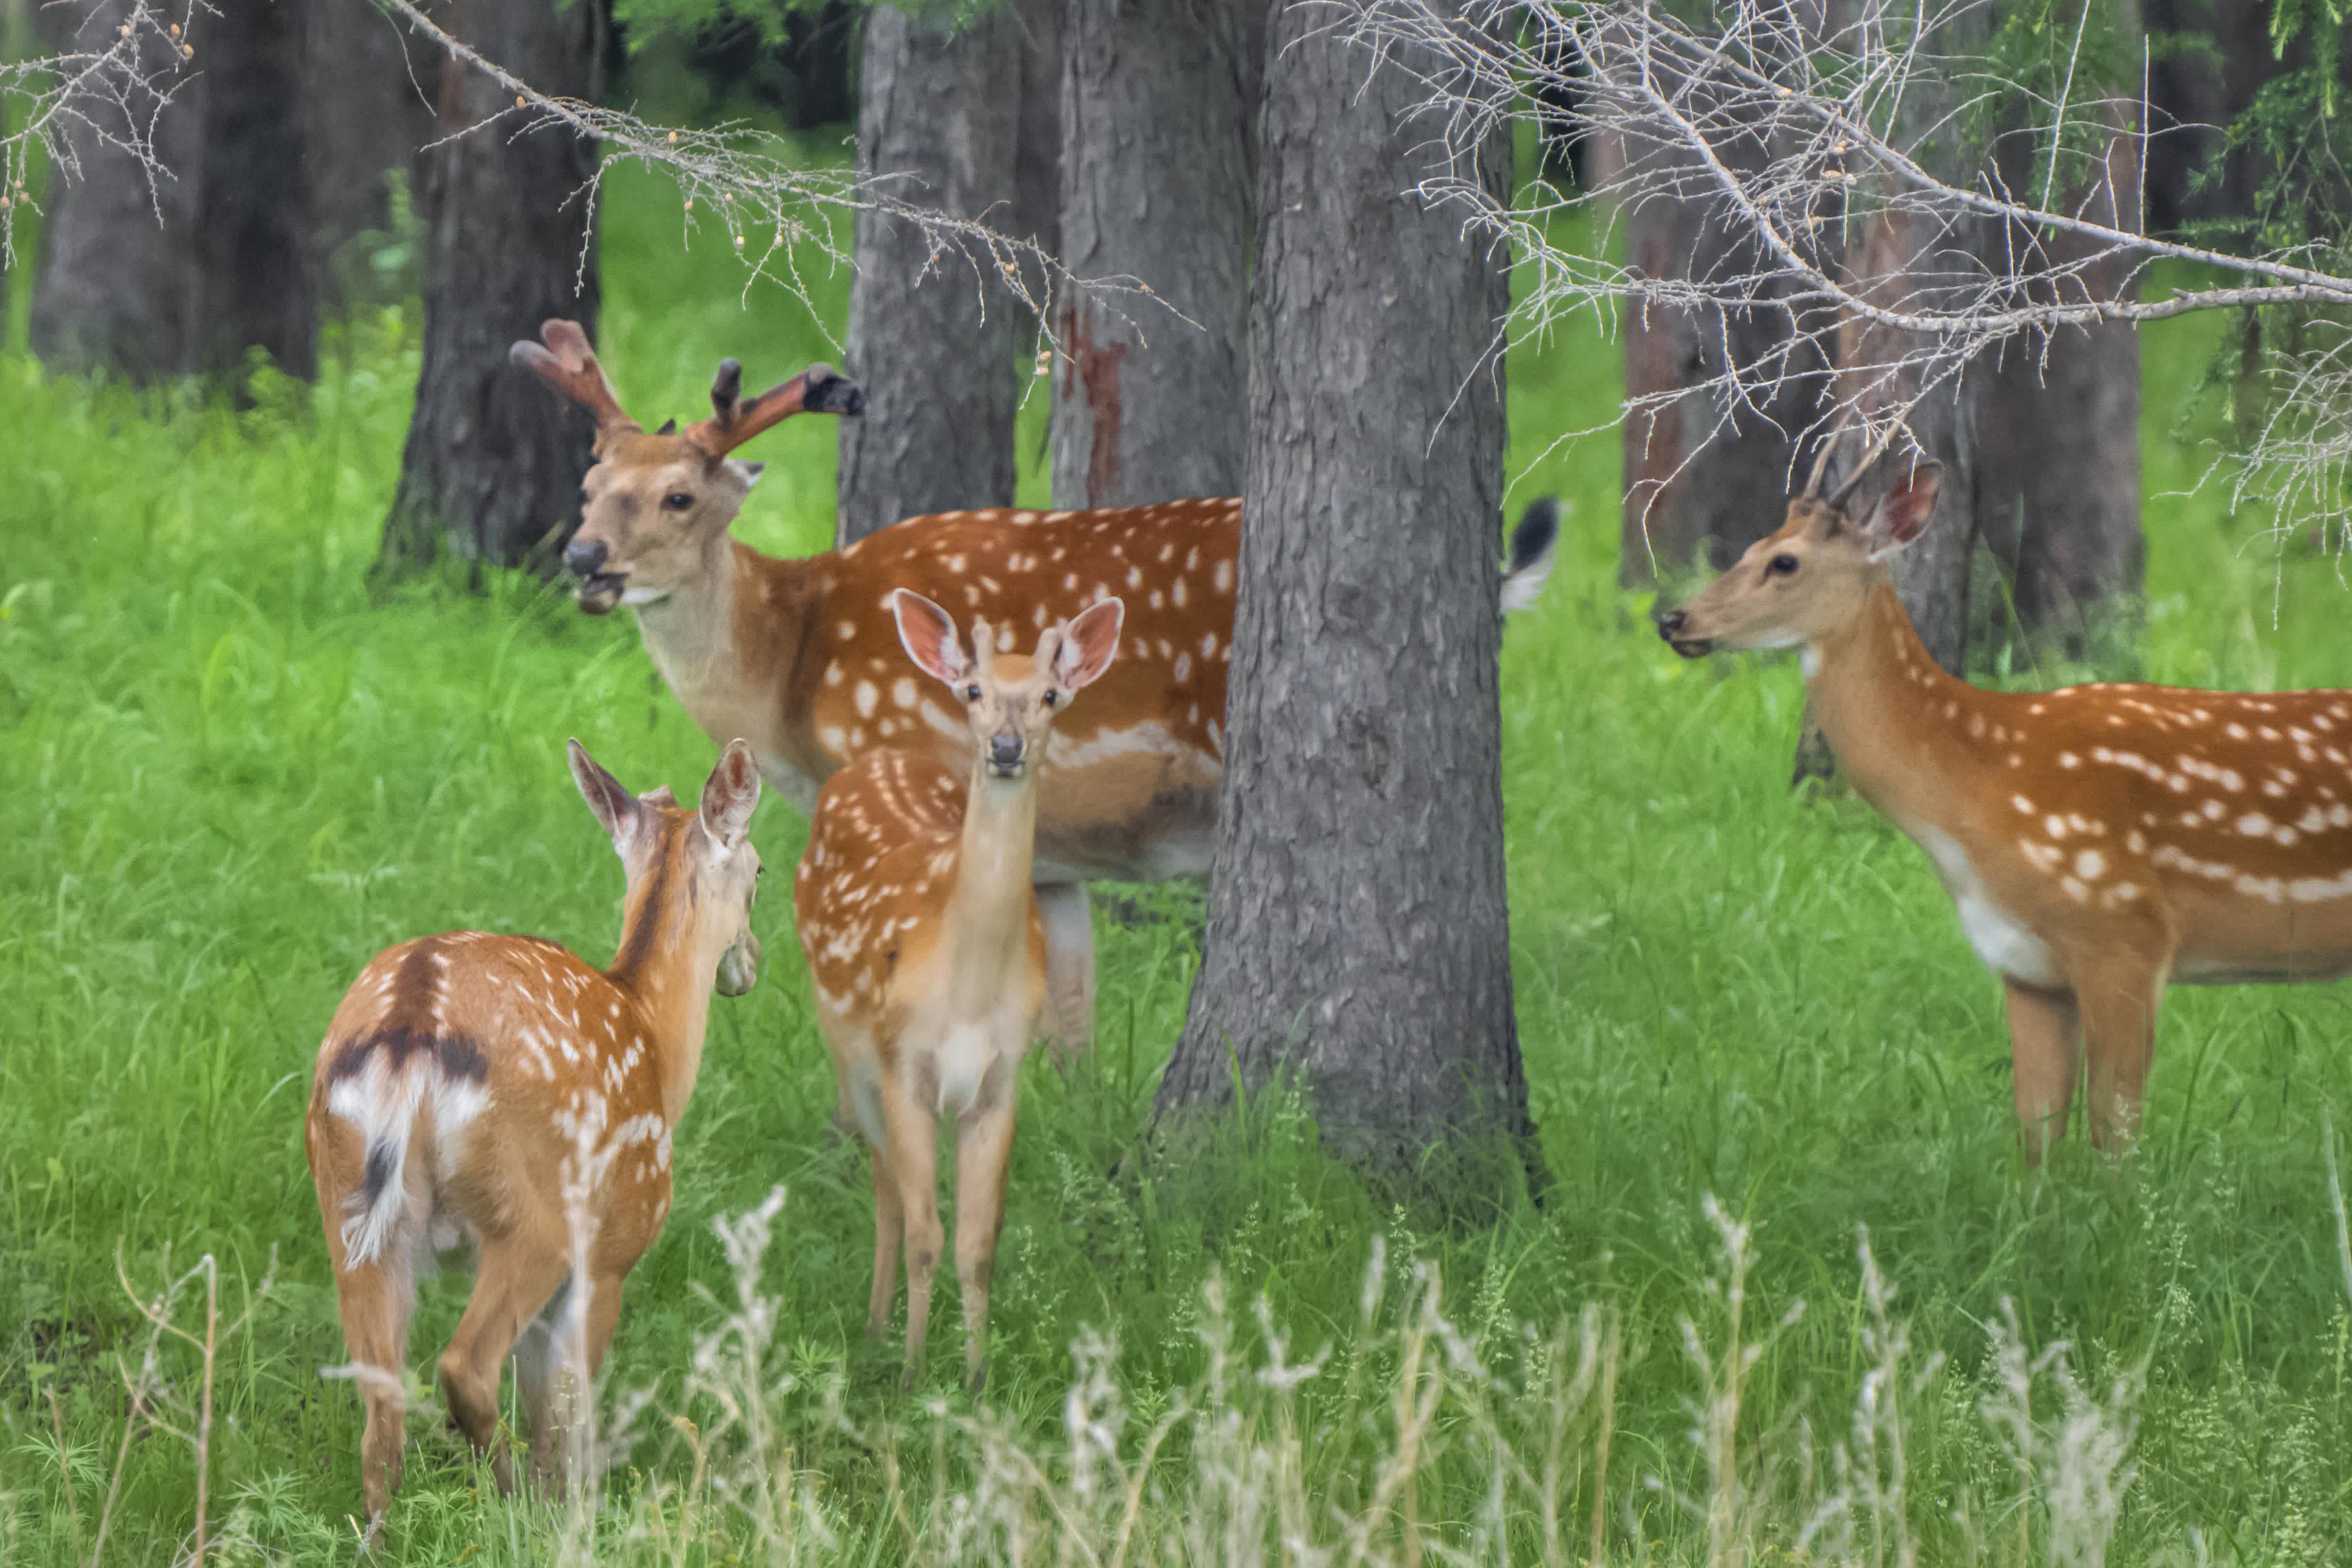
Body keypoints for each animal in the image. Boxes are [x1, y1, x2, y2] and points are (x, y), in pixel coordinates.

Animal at [303, 743, 762, 1542]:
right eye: (762, 872)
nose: (751, 962)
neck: (655, 1040)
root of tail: (410, 1026)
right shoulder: (611, 1251)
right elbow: (568, 1414)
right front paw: (574, 1517)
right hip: (537, 1213)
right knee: (463, 1366)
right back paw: (510, 1502)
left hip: (350, 1211)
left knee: (380, 1402)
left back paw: (385, 1536)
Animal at [795, 592, 1124, 1401]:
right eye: (973, 690)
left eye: (1050, 695)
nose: (1005, 746)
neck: (967, 990)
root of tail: (876, 758)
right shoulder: (903, 1060)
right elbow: (924, 1233)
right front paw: (915, 1374)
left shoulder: (1002, 1076)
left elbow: (976, 1240)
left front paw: (975, 1378)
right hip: (845, 1040)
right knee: (884, 1185)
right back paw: (876, 1332)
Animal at [1656, 446, 2352, 1161]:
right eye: (1749, 545)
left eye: (1784, 561)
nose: (1674, 620)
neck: (1976, 790)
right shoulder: (2024, 966)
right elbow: (2035, 1140)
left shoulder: (2126, 933)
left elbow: (2115, 1141)